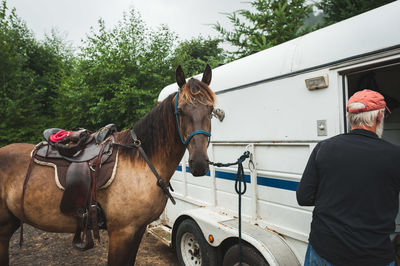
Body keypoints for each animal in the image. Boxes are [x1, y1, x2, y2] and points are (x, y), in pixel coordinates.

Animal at [0, 64, 216, 264]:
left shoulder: (137, 231)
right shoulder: (121, 232)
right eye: (180, 111)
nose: (199, 163)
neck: (141, 162)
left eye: (211, 110)